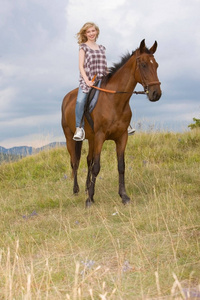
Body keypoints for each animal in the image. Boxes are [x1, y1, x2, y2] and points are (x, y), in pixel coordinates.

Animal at [61, 39, 162, 206]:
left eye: (157, 65)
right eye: (143, 65)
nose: (156, 94)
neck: (115, 101)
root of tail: (67, 97)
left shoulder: (121, 137)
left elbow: (121, 166)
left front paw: (124, 196)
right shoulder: (100, 136)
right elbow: (97, 167)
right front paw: (90, 200)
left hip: (91, 139)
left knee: (88, 161)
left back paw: (87, 188)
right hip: (71, 137)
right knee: (75, 162)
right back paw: (76, 190)